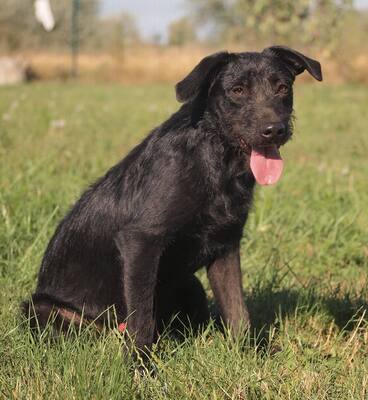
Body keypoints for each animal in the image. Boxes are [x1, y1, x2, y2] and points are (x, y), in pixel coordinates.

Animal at [23, 46, 322, 354]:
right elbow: (141, 318)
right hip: (44, 309)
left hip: (190, 285)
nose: (274, 129)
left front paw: (251, 352)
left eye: (282, 87)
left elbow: (237, 310)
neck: (215, 159)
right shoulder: (140, 242)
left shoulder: (225, 246)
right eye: (237, 90)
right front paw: (139, 364)